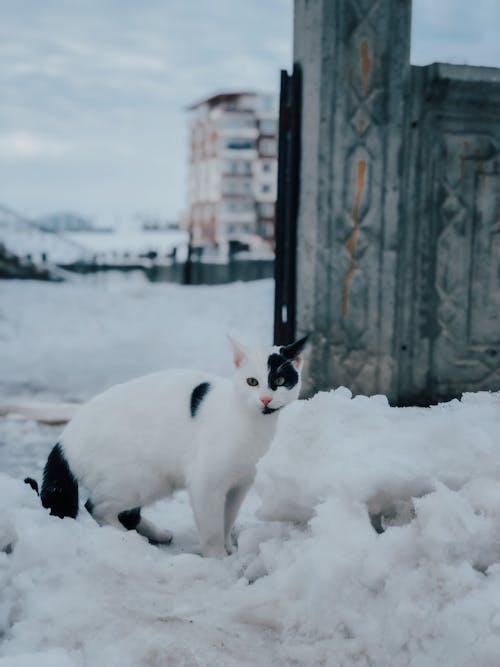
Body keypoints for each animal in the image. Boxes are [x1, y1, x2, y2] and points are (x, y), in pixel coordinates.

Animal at [28, 334, 308, 560]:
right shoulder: (206, 483)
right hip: (138, 479)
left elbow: (227, 520)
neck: (252, 424)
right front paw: (217, 558)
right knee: (96, 507)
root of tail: (64, 439)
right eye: (252, 382)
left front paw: (229, 548)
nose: (266, 399)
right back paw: (128, 539)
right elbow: (212, 527)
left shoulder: (239, 485)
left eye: (280, 380)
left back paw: (156, 534)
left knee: (126, 513)